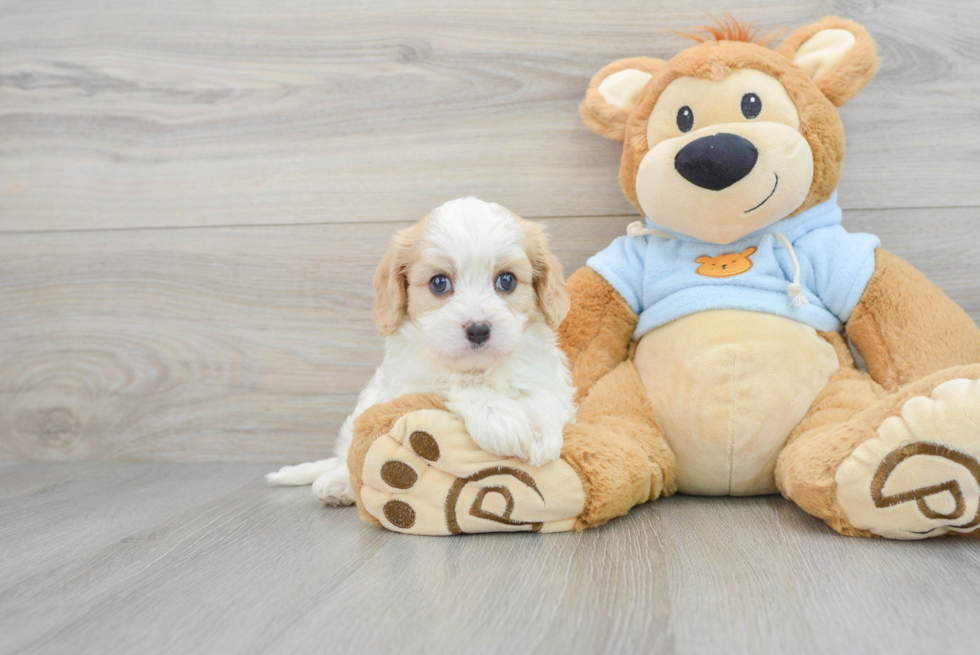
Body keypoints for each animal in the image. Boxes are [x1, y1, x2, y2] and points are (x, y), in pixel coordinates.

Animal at [264, 197, 580, 504]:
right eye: (439, 283)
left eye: (507, 280)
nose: (478, 330)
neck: (480, 367)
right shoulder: (410, 383)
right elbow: (455, 383)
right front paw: (500, 419)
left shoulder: (548, 376)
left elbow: (544, 394)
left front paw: (539, 432)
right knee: (347, 456)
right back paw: (338, 483)